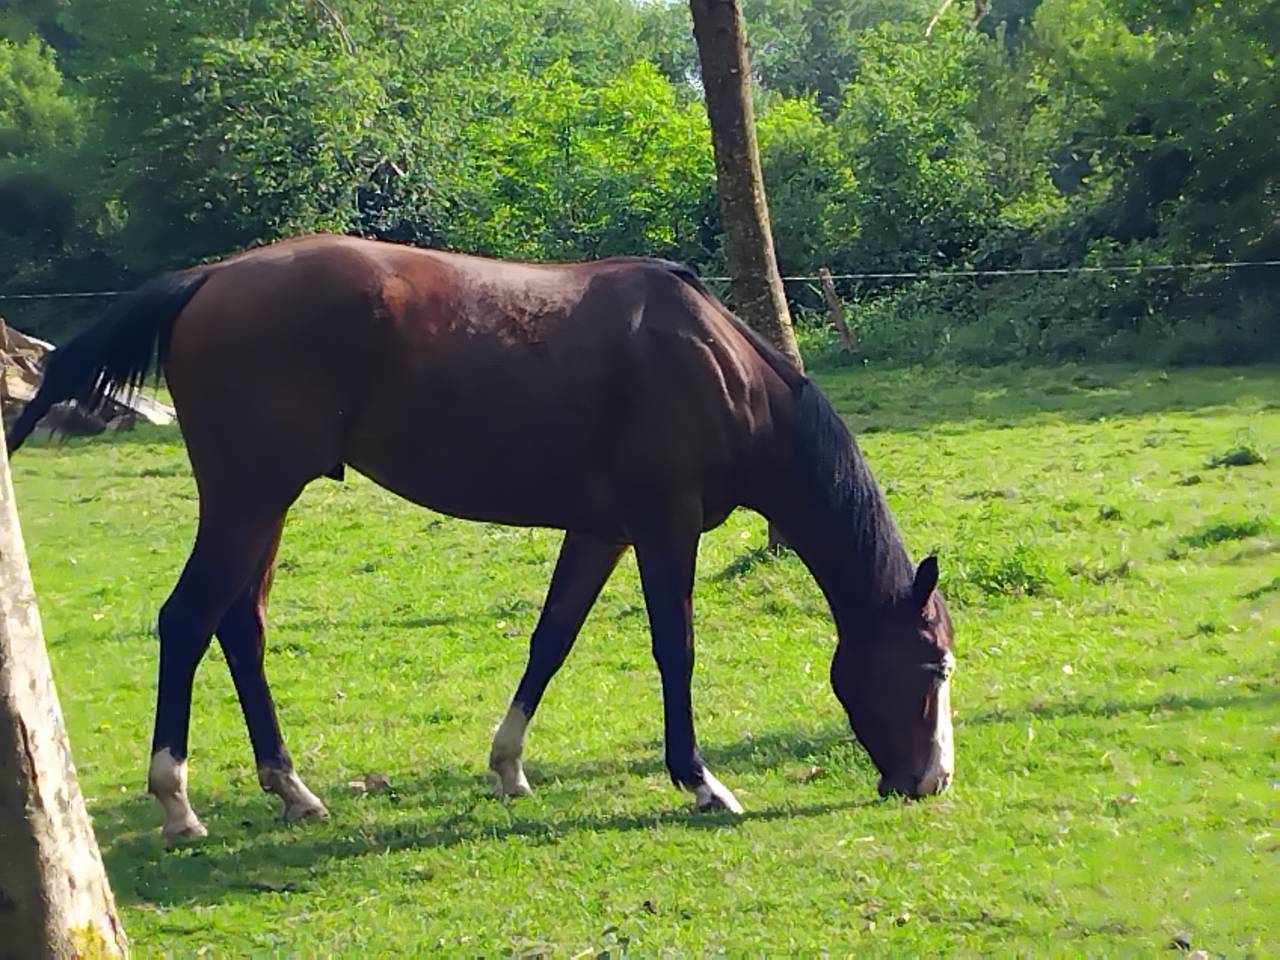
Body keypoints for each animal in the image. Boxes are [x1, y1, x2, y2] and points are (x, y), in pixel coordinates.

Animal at [8, 234, 955, 839]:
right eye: (934, 668)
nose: (931, 781)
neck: (714, 366)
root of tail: (211, 279)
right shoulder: (663, 528)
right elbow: (674, 650)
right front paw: (700, 783)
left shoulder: (600, 531)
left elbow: (551, 640)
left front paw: (508, 766)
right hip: (247, 498)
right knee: (186, 621)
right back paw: (176, 802)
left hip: (261, 505)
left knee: (240, 627)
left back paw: (292, 791)